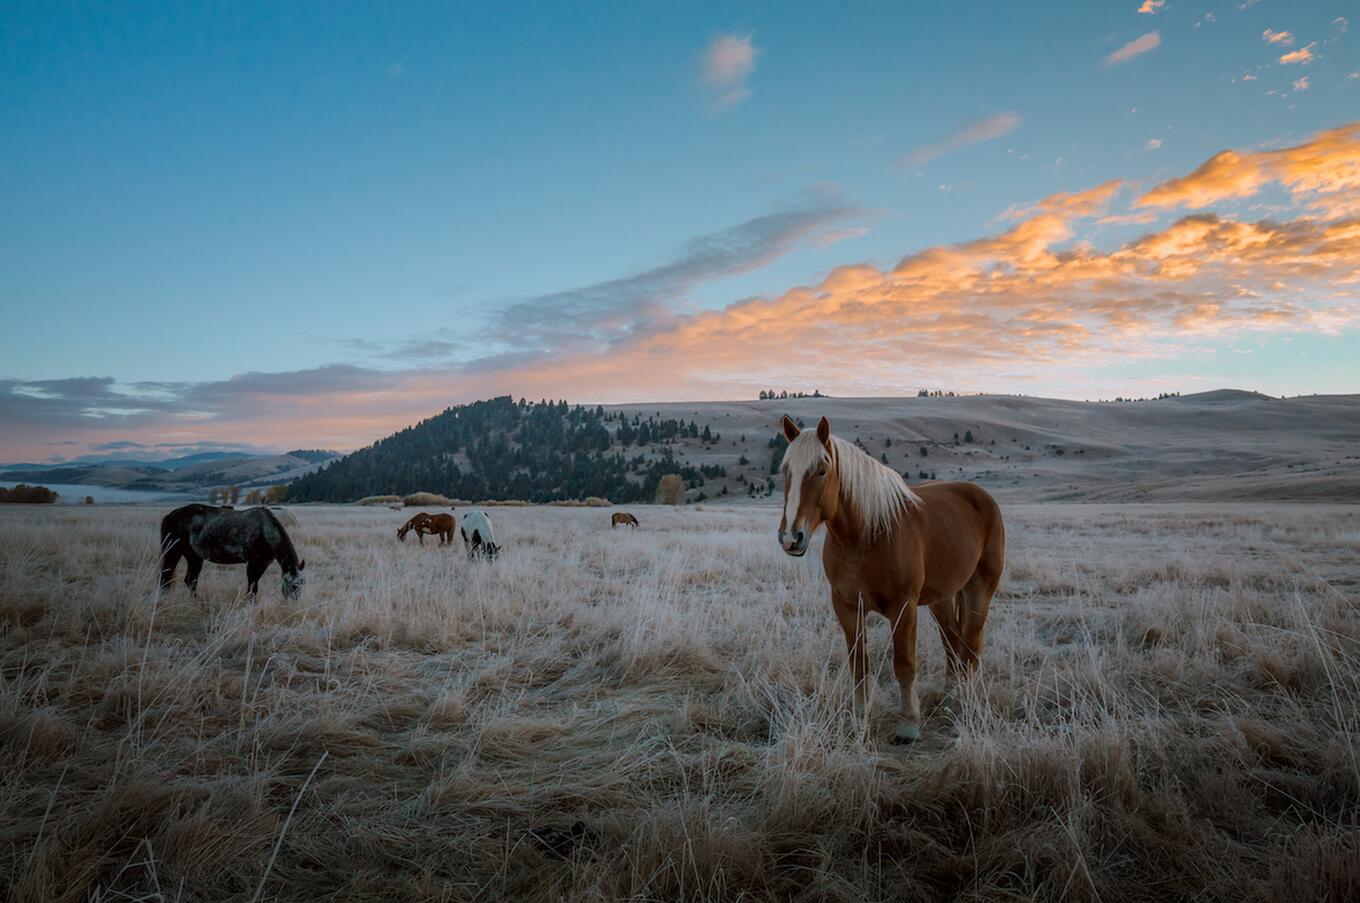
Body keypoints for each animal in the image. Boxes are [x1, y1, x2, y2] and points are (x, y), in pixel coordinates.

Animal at [157, 503, 307, 603]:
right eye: (293, 585)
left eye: (302, 583)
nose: (294, 604)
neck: (265, 531)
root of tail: (170, 515)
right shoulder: (253, 563)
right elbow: (252, 587)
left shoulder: (263, 563)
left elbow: (254, 586)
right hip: (172, 552)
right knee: (165, 578)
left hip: (194, 557)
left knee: (190, 581)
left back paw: (195, 603)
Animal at [777, 416, 1011, 739]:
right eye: (786, 470)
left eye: (821, 470)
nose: (791, 537)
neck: (866, 537)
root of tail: (981, 497)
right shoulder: (846, 606)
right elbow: (858, 663)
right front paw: (859, 717)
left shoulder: (904, 606)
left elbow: (904, 663)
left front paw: (909, 724)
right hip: (942, 598)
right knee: (952, 641)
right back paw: (950, 696)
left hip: (980, 589)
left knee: (970, 646)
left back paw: (965, 699)